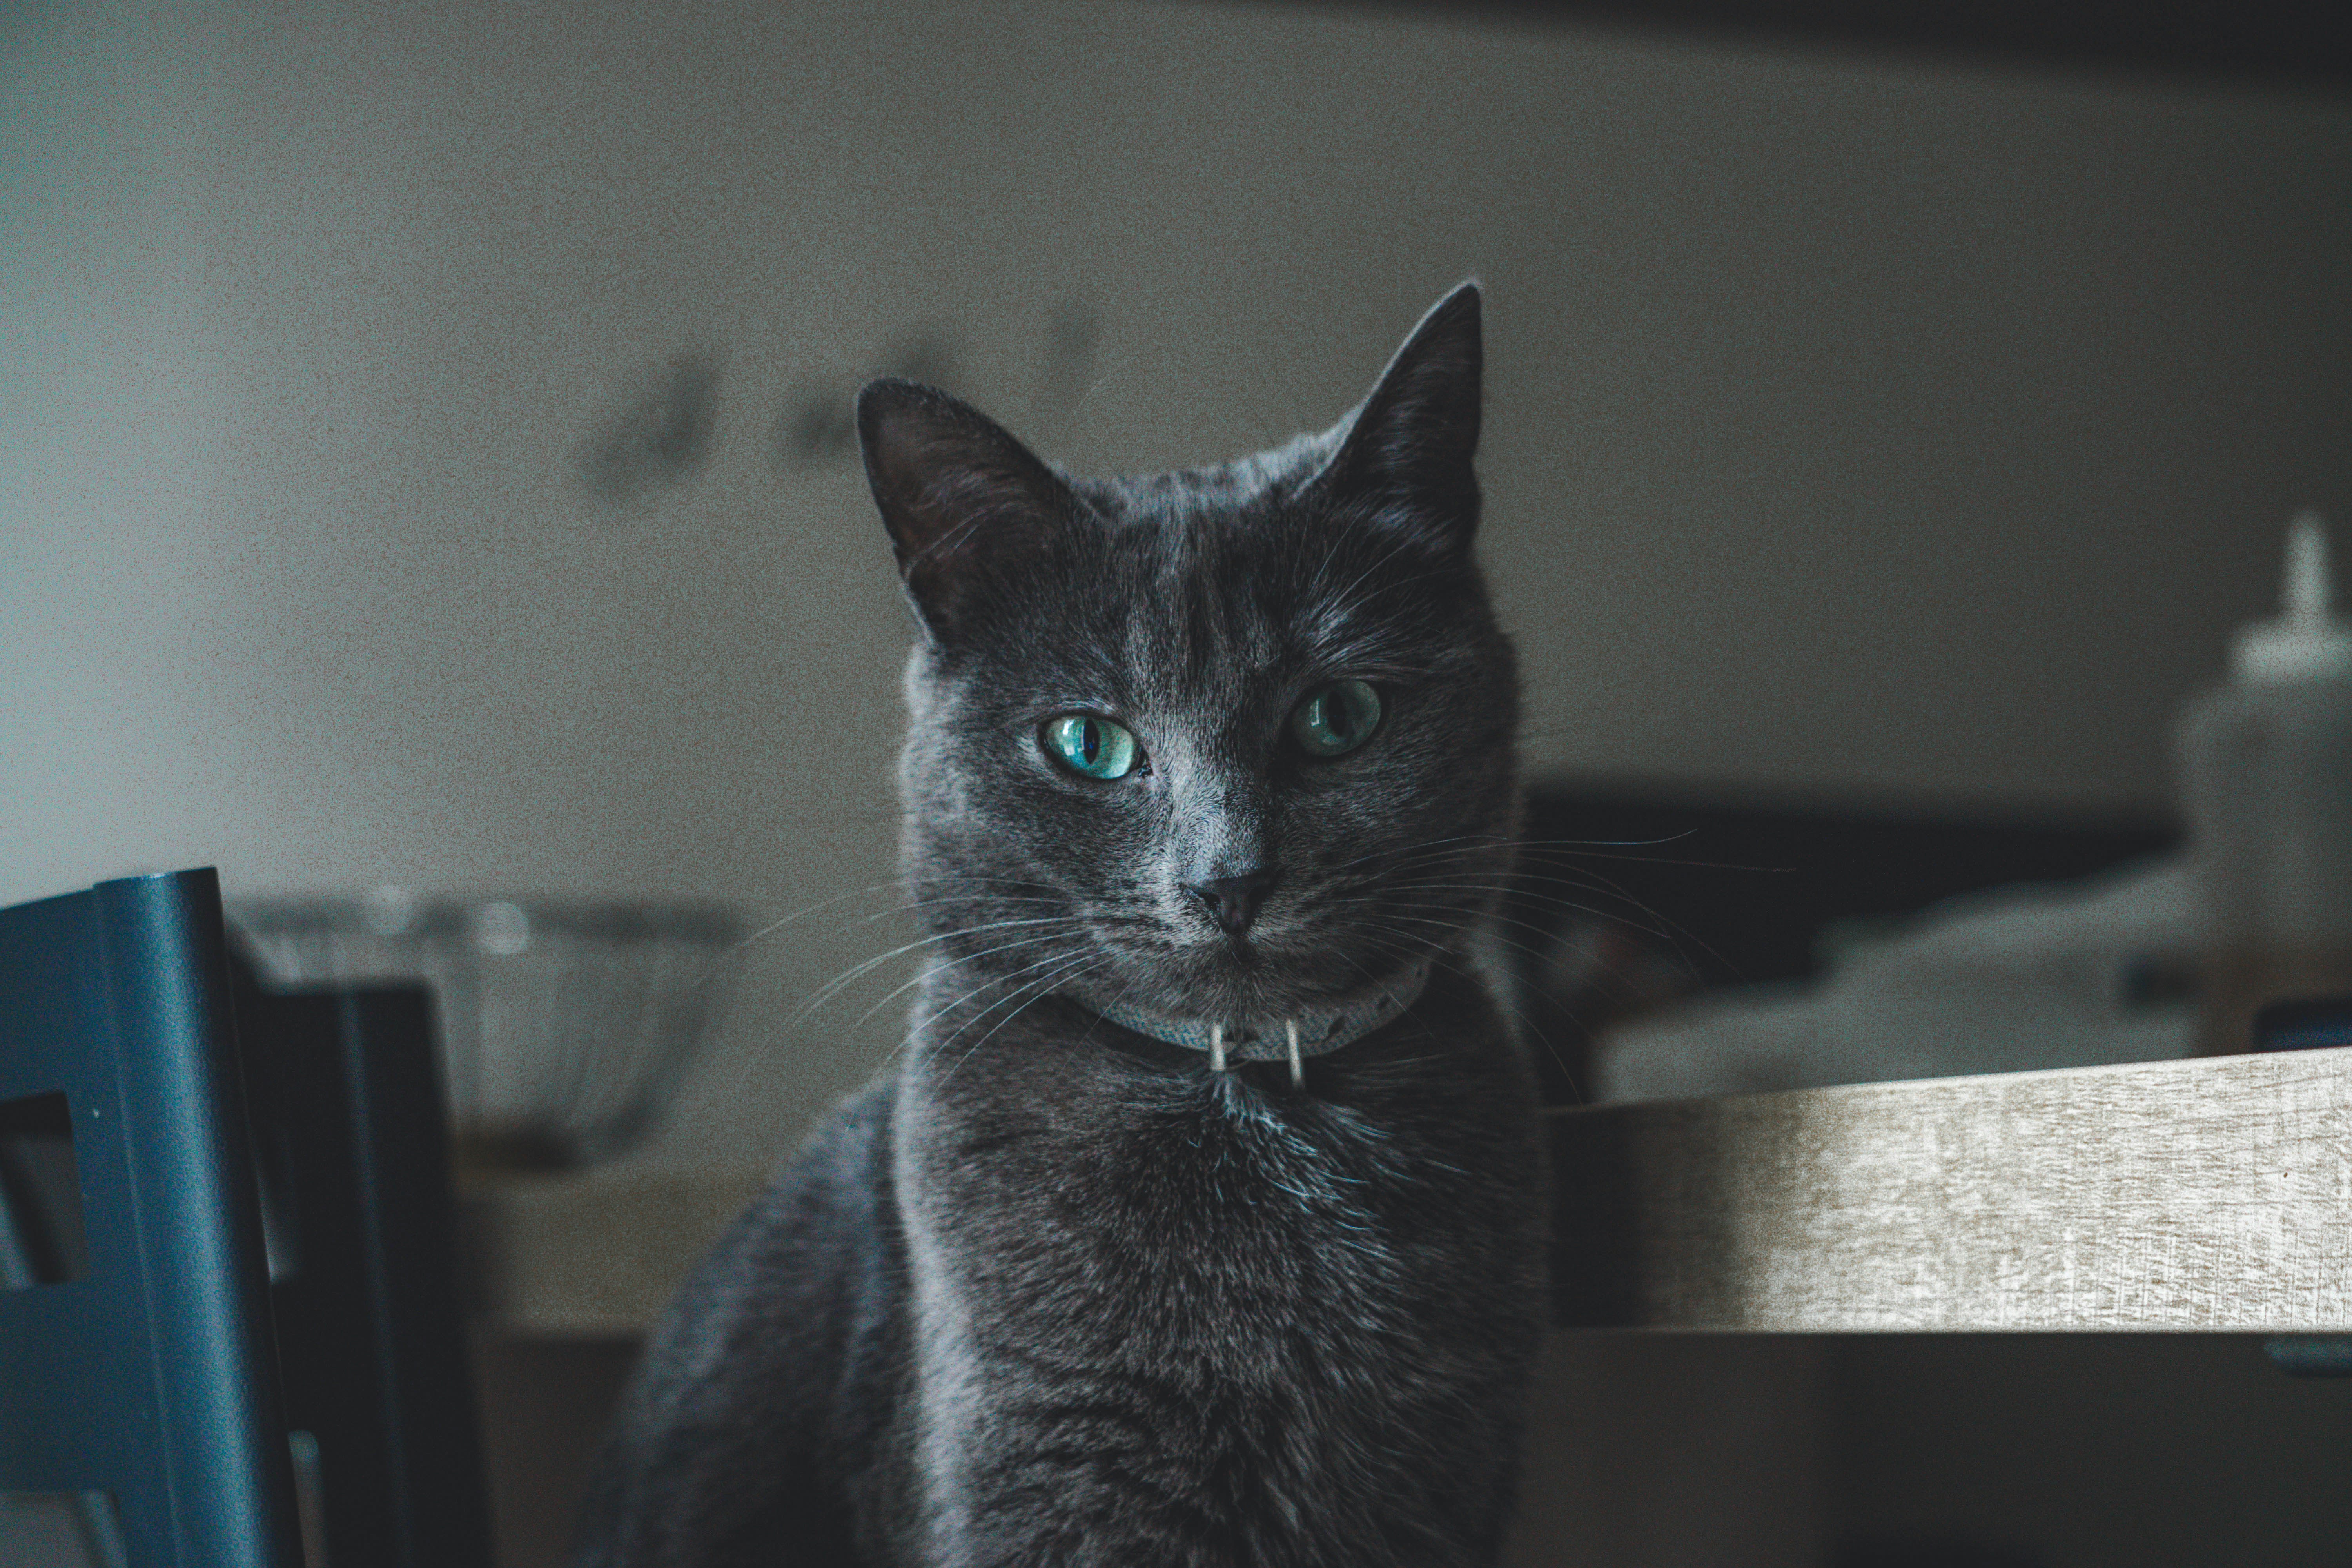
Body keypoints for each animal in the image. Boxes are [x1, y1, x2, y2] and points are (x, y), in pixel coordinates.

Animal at [576, 288, 1552, 1561]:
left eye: (1339, 714)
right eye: (1089, 743)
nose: (1228, 880)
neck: (1246, 1101)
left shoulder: (1441, 1480)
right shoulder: (1041, 1463)